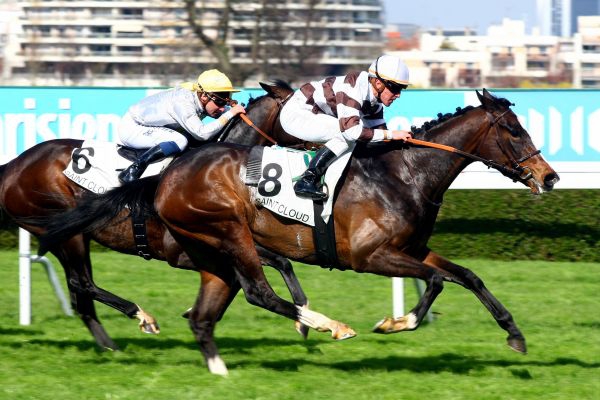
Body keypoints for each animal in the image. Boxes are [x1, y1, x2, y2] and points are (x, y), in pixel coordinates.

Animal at [0, 80, 310, 354]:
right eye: (307, 109)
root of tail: (13, 166)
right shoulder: (180, 251)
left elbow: (280, 261)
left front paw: (303, 318)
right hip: (67, 234)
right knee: (82, 284)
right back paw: (141, 317)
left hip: (73, 235)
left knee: (81, 297)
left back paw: (109, 347)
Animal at [148, 89, 560, 374]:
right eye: (513, 130)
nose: (550, 177)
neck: (404, 175)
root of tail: (171, 174)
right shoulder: (370, 256)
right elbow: (437, 281)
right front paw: (396, 322)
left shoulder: (412, 249)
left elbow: (468, 276)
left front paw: (514, 333)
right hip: (230, 235)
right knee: (256, 290)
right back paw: (326, 325)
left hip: (213, 247)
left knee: (222, 295)